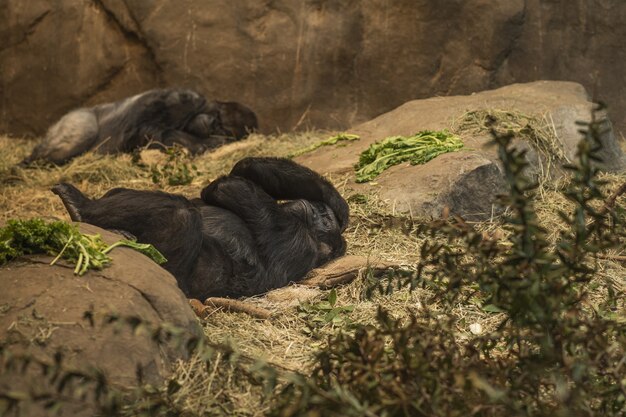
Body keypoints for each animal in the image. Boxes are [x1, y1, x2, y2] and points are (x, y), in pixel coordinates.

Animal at [20, 88, 258, 165]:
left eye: (222, 127)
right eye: (217, 118)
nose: (209, 123)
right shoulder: (182, 99)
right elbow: (144, 130)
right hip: (73, 118)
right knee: (84, 132)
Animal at [51, 157, 348, 300]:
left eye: (324, 219)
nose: (320, 211)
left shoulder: (295, 240)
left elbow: (231, 186)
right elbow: (243, 171)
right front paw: (336, 201)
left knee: (182, 213)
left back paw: (80, 208)